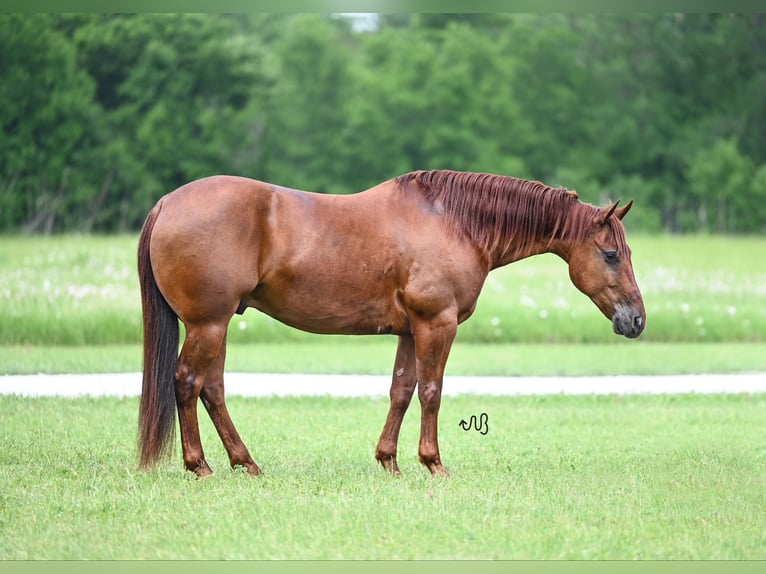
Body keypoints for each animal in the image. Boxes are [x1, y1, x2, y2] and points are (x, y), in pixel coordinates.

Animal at [140, 172, 648, 482]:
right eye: (611, 254)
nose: (637, 320)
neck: (453, 222)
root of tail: (166, 203)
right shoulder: (436, 324)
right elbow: (431, 392)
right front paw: (433, 463)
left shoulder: (409, 330)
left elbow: (402, 390)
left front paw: (389, 462)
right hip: (208, 325)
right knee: (188, 382)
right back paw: (200, 466)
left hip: (218, 325)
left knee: (212, 389)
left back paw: (245, 464)